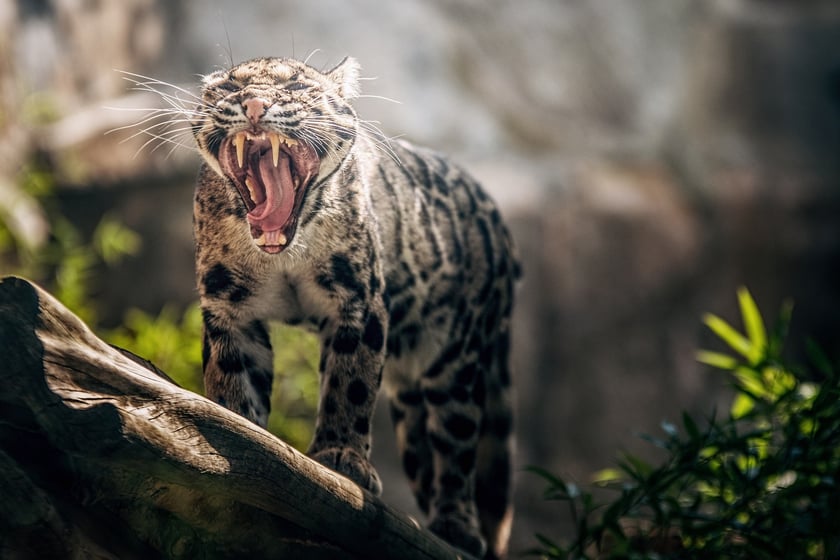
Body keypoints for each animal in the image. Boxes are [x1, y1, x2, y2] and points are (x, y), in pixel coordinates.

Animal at [191, 58, 520, 560]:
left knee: (457, 444)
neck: (286, 250)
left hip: (457, 361)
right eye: (228, 87)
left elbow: (351, 384)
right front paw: (237, 428)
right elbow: (232, 376)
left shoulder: (359, 304)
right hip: (410, 400)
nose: (254, 105)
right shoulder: (229, 307)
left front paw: (342, 458)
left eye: (297, 86)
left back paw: (456, 526)